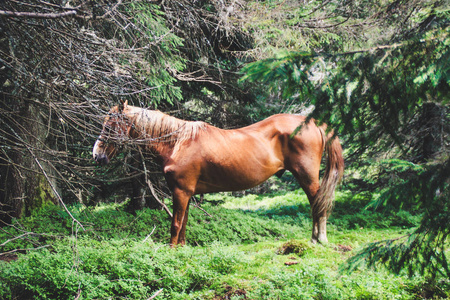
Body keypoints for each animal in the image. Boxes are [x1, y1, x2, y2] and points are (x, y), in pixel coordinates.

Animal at [92, 101, 344, 246]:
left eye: (109, 125)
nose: (97, 155)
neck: (178, 142)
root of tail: (313, 123)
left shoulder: (180, 191)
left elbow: (175, 224)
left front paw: (171, 250)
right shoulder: (187, 193)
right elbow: (184, 224)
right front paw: (181, 249)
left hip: (307, 176)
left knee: (318, 204)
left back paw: (319, 239)